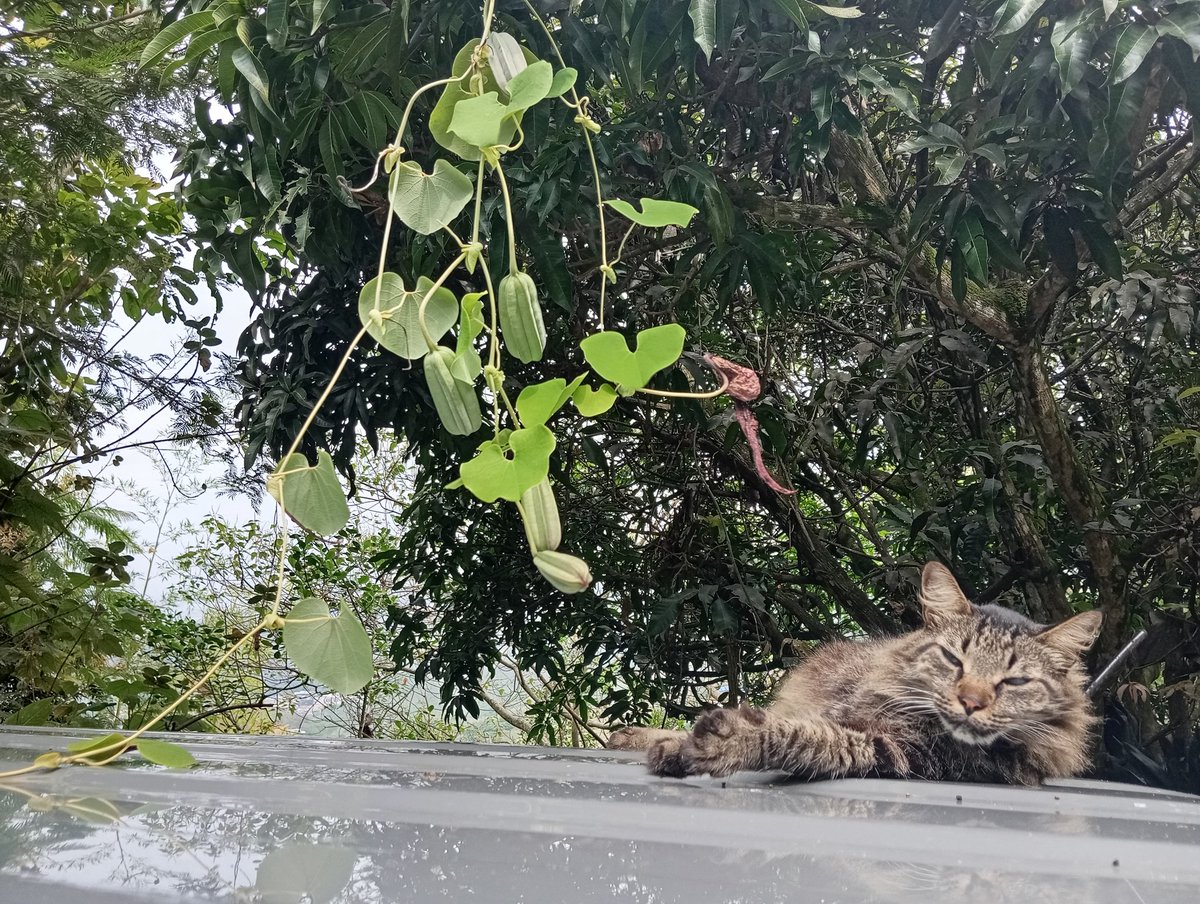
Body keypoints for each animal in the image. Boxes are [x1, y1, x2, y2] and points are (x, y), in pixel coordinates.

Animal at [609, 564, 1104, 782]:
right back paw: (628, 736)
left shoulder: (893, 752)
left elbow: (799, 736)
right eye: (953, 661)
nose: (971, 702)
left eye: (1014, 681)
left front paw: (725, 742)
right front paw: (675, 744)